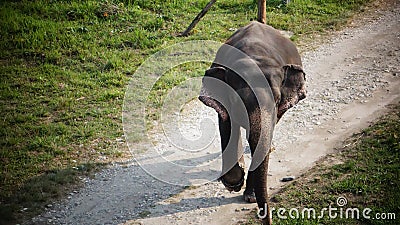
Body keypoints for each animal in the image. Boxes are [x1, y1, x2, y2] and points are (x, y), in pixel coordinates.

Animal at [198, 21, 306, 223]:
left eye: (277, 100)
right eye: (237, 101)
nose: (267, 219)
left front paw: (249, 195)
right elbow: (226, 125)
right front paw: (233, 182)